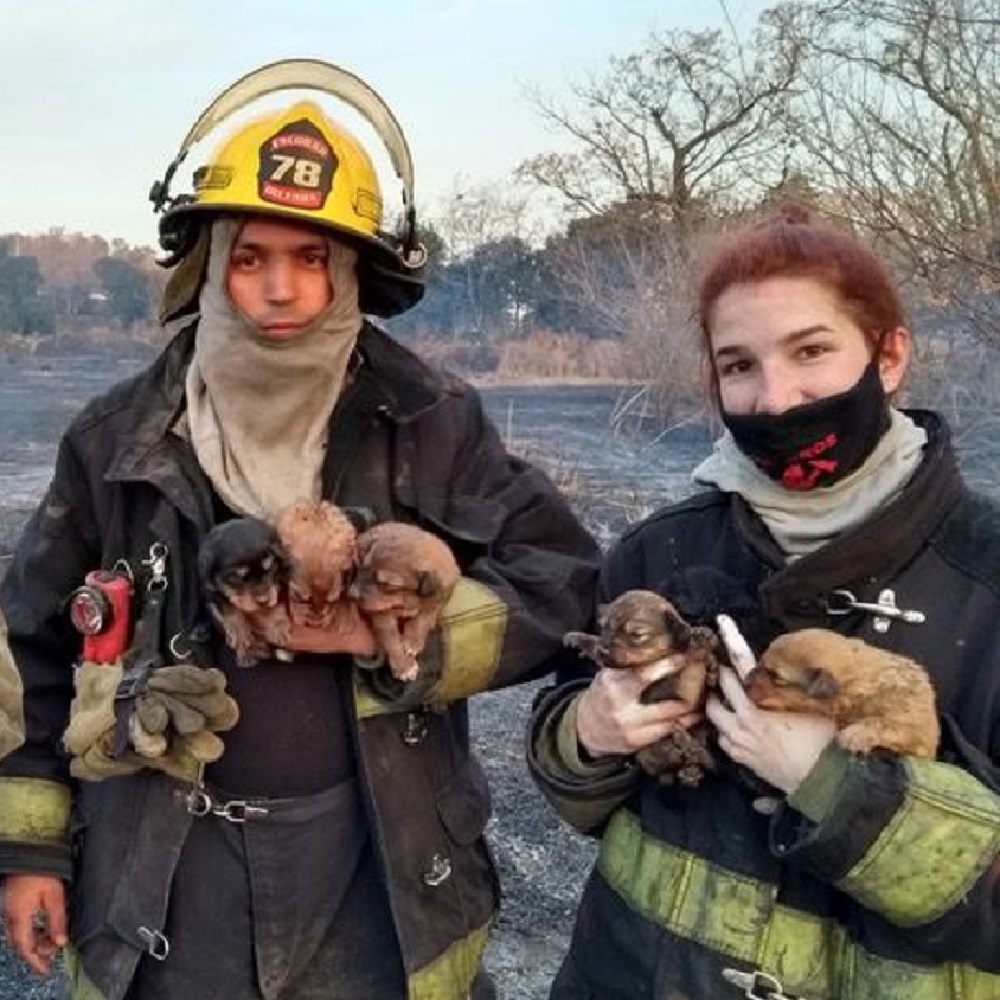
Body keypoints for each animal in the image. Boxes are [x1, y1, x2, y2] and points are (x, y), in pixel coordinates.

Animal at [198, 520, 292, 668]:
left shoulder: (281, 577)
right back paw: (248, 653)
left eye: (268, 568)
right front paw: (239, 633)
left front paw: (278, 625)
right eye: (238, 577)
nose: (263, 600)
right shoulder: (212, 589)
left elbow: (278, 600)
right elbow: (228, 607)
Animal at [348, 524, 460, 680]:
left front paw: (413, 641)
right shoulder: (380, 612)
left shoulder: (440, 594)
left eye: (385, 584)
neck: (406, 598)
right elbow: (391, 639)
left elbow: (424, 617)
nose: (351, 594)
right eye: (363, 567)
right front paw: (404, 666)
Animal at [564, 588, 720, 784]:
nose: (603, 650)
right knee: (673, 762)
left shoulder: (687, 684)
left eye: (637, 635)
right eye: (604, 628)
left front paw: (701, 638)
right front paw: (578, 639)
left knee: (695, 756)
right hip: (649, 755)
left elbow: (693, 660)